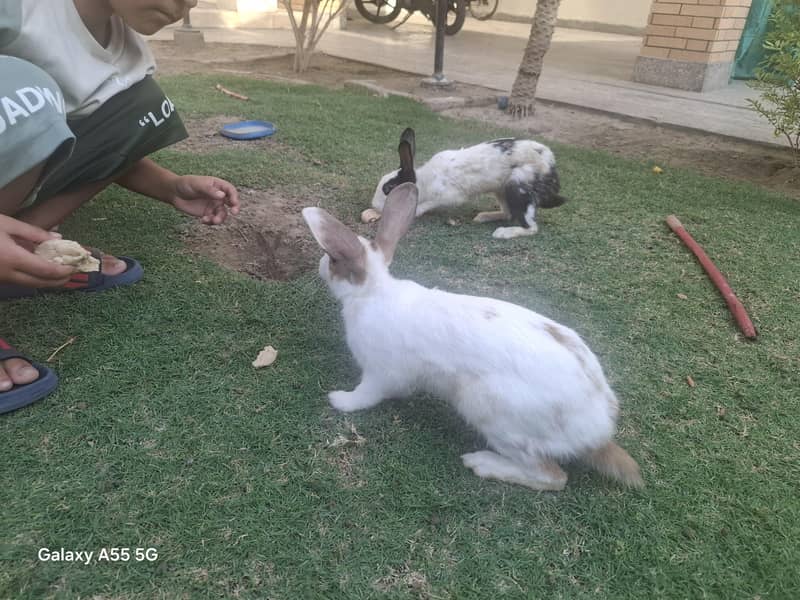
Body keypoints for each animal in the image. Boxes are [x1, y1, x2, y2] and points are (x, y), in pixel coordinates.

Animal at [302, 182, 642, 491]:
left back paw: (482, 463)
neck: (373, 292)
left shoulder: (379, 373)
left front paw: (340, 400)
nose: (320, 265)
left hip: (492, 412)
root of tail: (597, 431)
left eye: (333, 260)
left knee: (552, 476)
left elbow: (366, 395)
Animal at [370, 128, 568, 240]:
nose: (374, 205)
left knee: (531, 227)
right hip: (501, 189)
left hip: (518, 187)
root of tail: (551, 168)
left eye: (388, 189)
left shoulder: (448, 196)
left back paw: (503, 233)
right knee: (507, 213)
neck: (424, 181)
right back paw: (482, 217)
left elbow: (426, 205)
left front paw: (415, 211)